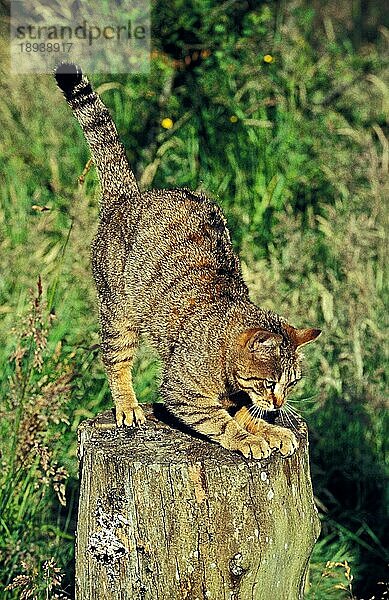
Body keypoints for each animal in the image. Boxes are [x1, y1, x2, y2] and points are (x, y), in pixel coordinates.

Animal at [55, 63, 322, 460]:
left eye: (292, 383)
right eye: (269, 381)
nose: (278, 404)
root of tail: (129, 196)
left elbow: (243, 411)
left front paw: (266, 428)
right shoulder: (181, 391)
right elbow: (220, 420)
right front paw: (250, 437)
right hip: (118, 313)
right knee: (116, 361)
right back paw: (128, 406)